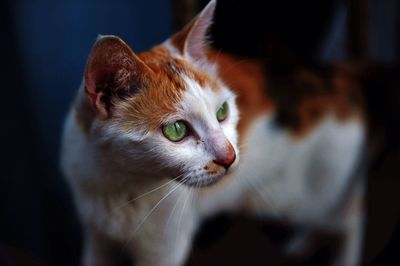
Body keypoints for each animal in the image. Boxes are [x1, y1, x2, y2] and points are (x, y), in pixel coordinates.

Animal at [61, 1, 366, 264]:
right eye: (176, 129)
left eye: (222, 112)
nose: (229, 157)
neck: (117, 182)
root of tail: (339, 76)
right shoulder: (97, 237)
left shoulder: (163, 249)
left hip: (311, 195)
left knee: (350, 213)